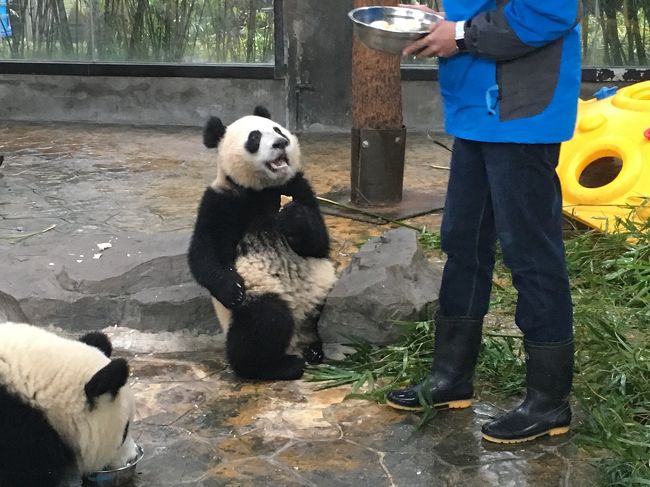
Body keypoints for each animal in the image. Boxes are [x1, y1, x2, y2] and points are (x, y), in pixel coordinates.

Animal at [187, 106, 336, 382]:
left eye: (278, 129)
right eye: (254, 138)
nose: (281, 143)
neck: (263, 191)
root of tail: (298, 338)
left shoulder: (298, 186)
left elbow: (318, 241)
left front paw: (292, 217)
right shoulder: (221, 201)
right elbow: (204, 255)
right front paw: (231, 288)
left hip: (322, 287)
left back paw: (315, 350)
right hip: (261, 291)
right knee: (265, 321)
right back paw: (279, 366)